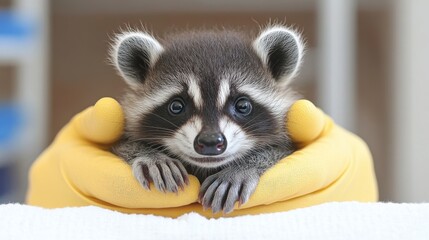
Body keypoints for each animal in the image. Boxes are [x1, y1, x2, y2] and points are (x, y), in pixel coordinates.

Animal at [111, 25, 304, 214]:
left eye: (242, 105)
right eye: (176, 106)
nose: (210, 141)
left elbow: (281, 151)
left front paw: (244, 168)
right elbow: (122, 146)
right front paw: (149, 156)